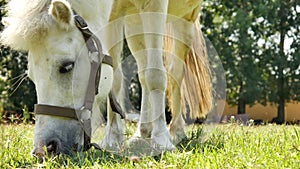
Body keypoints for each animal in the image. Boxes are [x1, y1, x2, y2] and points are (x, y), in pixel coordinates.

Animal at [0, 0, 211, 157]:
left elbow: (156, 75)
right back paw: (142, 133)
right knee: (142, 73)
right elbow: (116, 77)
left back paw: (176, 131)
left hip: (185, 19)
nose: (45, 149)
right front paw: (113, 139)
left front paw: (161, 141)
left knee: (173, 74)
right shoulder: (112, 16)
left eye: (67, 66)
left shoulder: (155, 7)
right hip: (135, 23)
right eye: (32, 77)